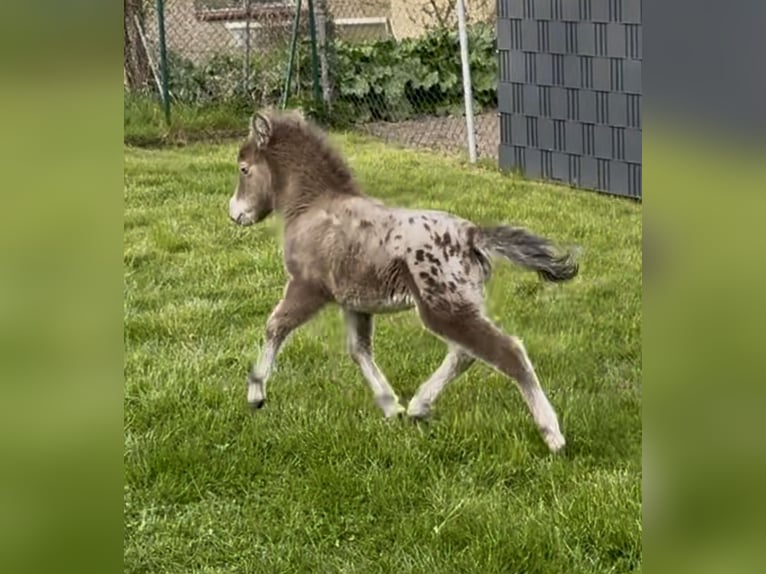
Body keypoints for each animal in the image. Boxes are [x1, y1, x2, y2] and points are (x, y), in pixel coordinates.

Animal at [227, 109, 579, 453]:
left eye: (244, 169)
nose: (234, 214)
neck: (312, 206)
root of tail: (472, 234)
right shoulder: (354, 300)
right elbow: (359, 350)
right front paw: (390, 406)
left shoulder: (308, 286)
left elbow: (276, 325)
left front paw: (256, 393)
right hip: (457, 303)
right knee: (464, 352)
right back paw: (418, 407)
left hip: (443, 307)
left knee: (506, 351)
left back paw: (552, 436)